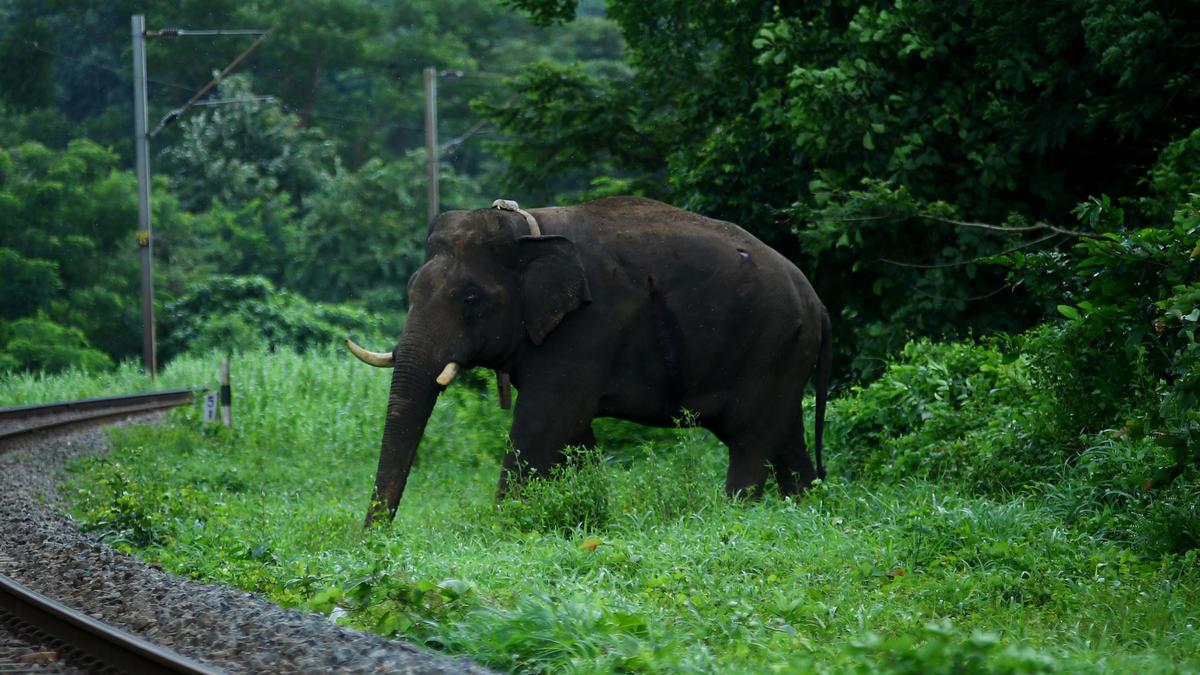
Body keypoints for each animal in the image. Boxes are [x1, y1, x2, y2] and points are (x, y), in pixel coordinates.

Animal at [347, 196, 832, 526]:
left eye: (470, 299)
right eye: (411, 289)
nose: (375, 539)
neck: (529, 228)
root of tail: (818, 305)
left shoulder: (589, 327)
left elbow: (543, 425)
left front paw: (504, 526)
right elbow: (574, 435)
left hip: (771, 346)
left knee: (751, 439)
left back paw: (735, 514)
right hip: (787, 356)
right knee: (786, 437)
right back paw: (807, 507)